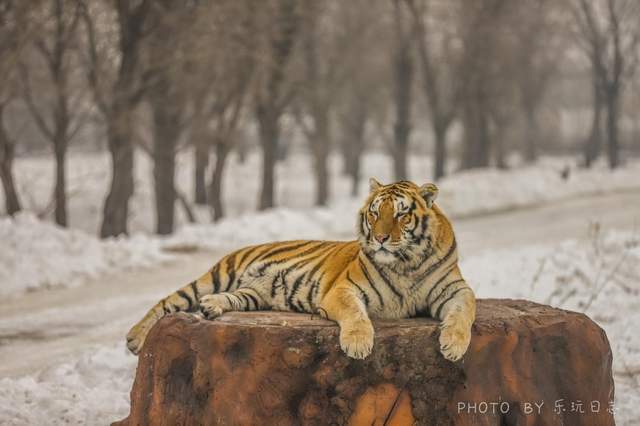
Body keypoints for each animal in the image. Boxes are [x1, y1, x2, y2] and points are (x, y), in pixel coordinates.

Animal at [126, 178, 476, 362]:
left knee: (230, 298)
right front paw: (358, 344)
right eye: (375, 213)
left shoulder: (455, 290)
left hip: (253, 294)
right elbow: (356, 315)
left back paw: (212, 307)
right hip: (218, 273)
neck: (405, 263)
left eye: (402, 215)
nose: (379, 238)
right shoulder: (344, 290)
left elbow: (464, 313)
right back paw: (134, 339)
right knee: (167, 303)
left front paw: (453, 346)